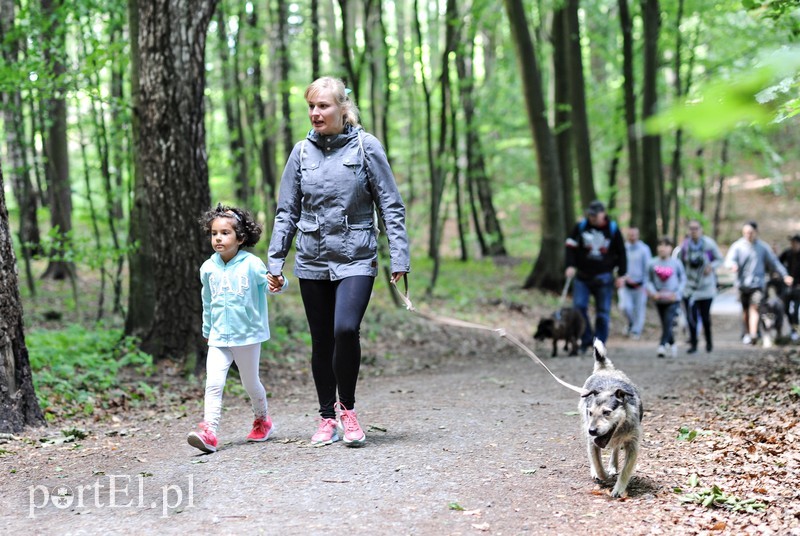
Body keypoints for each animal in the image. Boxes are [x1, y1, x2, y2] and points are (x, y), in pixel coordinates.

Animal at [580, 340, 644, 498]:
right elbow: (597, 463)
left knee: (615, 449)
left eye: (606, 412)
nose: (592, 431)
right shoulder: (593, 441)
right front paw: (602, 475)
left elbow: (626, 470)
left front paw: (618, 489)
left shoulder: (633, 444)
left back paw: (613, 466)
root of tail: (605, 369)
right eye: (590, 412)